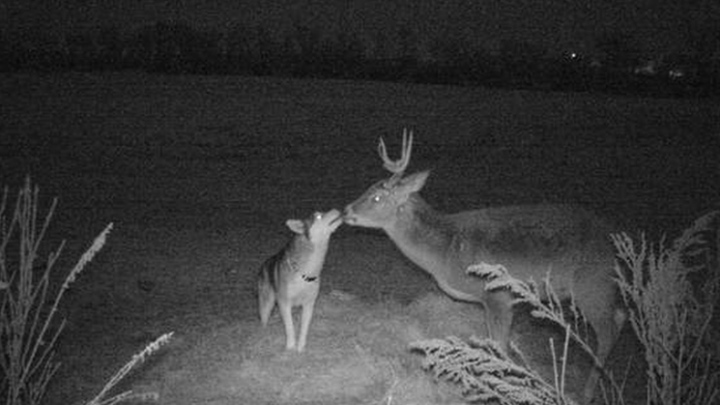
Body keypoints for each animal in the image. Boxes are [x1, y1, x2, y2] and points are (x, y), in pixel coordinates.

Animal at [342, 130, 624, 400]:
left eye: (376, 197)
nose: (346, 211)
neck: (445, 251)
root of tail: (614, 240)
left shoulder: (499, 295)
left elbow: (500, 348)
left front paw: (503, 388)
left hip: (592, 284)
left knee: (607, 332)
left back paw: (588, 392)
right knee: (620, 316)